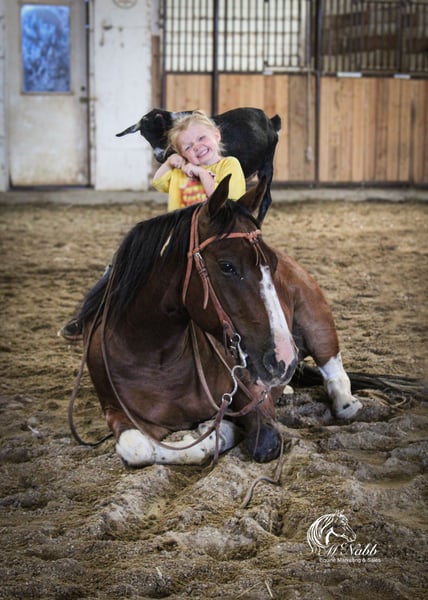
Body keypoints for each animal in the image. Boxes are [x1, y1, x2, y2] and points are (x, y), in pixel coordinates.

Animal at [73, 176, 362, 467]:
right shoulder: (117, 411)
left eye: (272, 263)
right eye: (227, 266)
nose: (284, 358)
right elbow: (138, 448)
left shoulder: (254, 395)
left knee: (334, 371)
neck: (155, 356)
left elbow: (260, 442)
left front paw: (216, 430)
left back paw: (347, 404)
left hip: (317, 321)